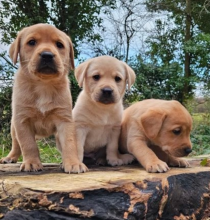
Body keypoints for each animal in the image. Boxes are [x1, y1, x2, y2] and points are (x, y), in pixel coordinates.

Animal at [0, 22, 87, 174]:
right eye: (31, 42)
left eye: (59, 45)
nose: (47, 55)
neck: (43, 84)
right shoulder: (22, 121)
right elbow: (28, 144)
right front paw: (32, 163)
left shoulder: (64, 120)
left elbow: (69, 144)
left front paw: (73, 163)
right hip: (13, 127)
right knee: (16, 144)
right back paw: (10, 157)